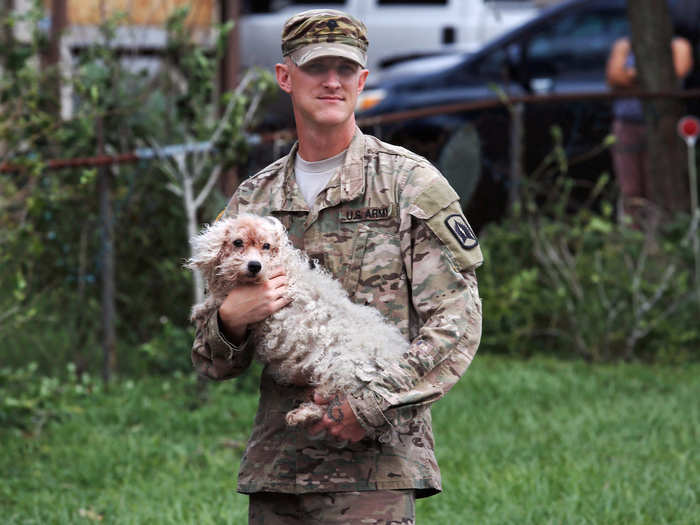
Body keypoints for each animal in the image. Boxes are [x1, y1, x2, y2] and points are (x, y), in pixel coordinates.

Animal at [189, 215, 412, 428]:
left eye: (266, 246)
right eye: (237, 242)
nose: (254, 266)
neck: (278, 266)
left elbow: (221, 299)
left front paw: (200, 310)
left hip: (342, 371)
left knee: (335, 402)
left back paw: (305, 414)